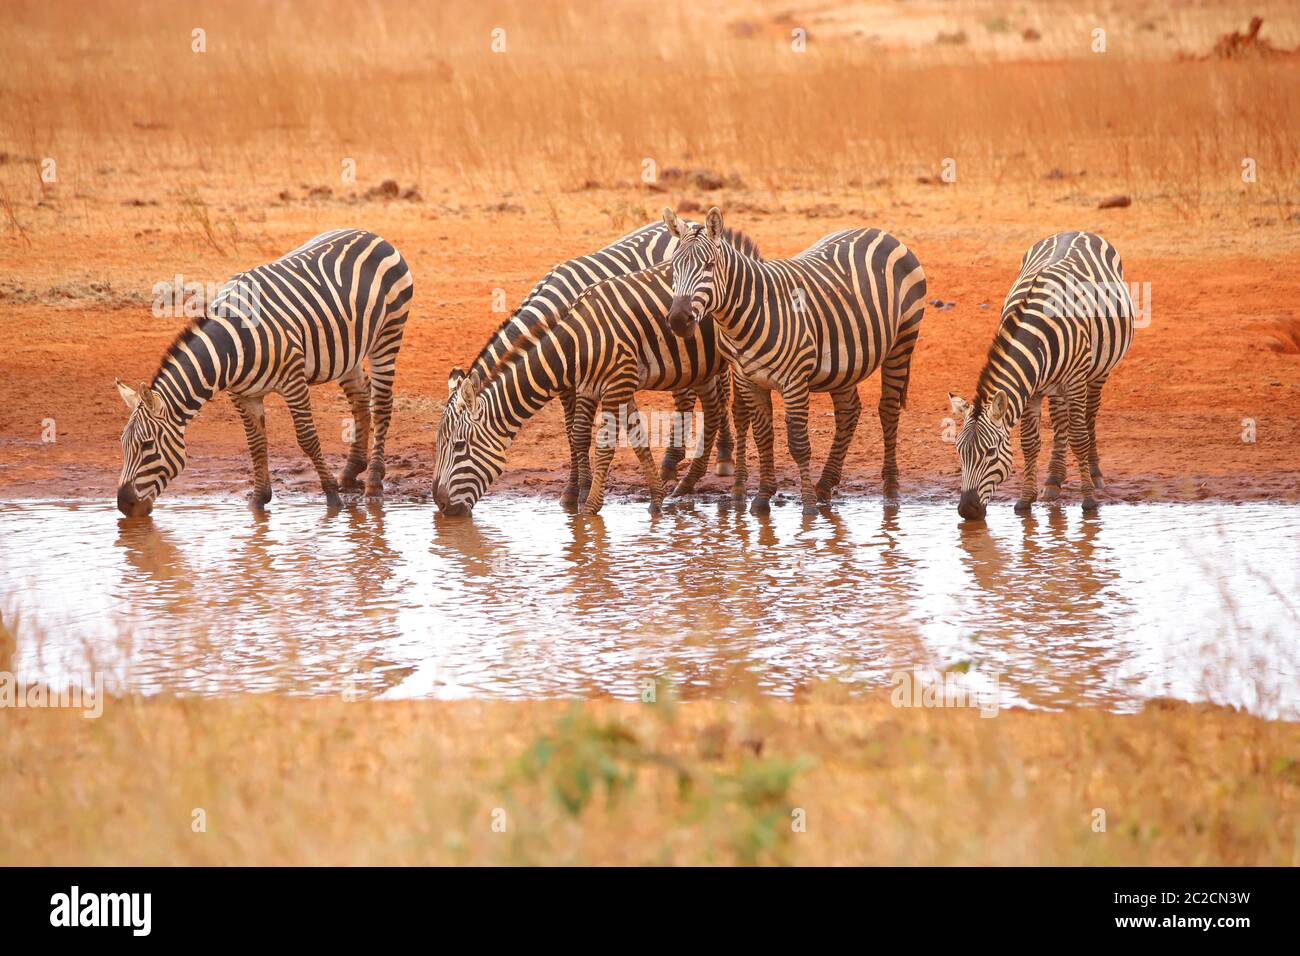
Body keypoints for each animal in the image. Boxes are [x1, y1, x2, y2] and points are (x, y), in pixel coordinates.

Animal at [116, 227, 413, 515]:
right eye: (123, 444)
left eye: (147, 445)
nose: (124, 505)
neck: (233, 346)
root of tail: (371, 235)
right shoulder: (242, 395)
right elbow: (256, 444)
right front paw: (258, 501)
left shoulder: (294, 381)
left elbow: (307, 439)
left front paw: (331, 496)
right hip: (347, 352)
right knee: (361, 399)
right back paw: (352, 472)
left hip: (387, 335)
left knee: (381, 404)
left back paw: (373, 483)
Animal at [431, 230, 764, 515]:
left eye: (459, 447)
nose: (441, 506)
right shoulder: (578, 383)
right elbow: (579, 434)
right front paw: (576, 490)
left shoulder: (582, 382)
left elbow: (577, 433)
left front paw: (579, 492)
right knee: (709, 400)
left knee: (714, 398)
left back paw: (715, 462)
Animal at [665, 204, 930, 515]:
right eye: (673, 267)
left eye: (709, 266)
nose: (678, 320)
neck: (751, 311)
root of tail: (881, 232)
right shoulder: (748, 379)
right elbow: (763, 436)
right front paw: (763, 497)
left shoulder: (794, 380)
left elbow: (799, 445)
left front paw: (808, 507)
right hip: (845, 360)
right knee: (848, 410)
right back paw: (825, 484)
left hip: (903, 341)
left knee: (888, 410)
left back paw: (889, 489)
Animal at [946, 231, 1138, 520]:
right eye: (959, 451)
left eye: (990, 452)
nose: (968, 510)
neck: (1036, 333)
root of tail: (1075, 231)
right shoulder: (1031, 387)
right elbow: (1029, 442)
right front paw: (1025, 500)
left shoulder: (1075, 379)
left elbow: (1078, 437)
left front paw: (1089, 501)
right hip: (1055, 383)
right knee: (1060, 421)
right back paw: (1053, 480)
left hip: (1098, 371)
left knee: (1089, 417)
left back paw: (1094, 475)